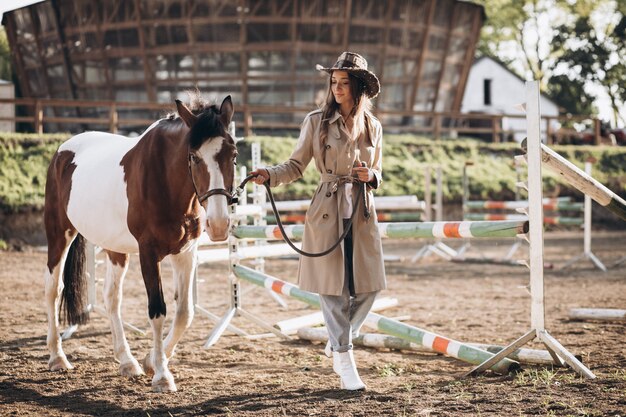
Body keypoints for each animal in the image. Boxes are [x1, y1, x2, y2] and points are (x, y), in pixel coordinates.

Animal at [41, 93, 236, 390]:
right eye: (193, 156)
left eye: (233, 155)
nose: (219, 224)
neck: (165, 180)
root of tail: (62, 152)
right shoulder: (148, 254)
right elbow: (158, 311)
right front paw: (162, 376)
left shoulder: (185, 254)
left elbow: (184, 313)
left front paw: (151, 360)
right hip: (58, 235)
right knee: (53, 289)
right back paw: (57, 357)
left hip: (115, 250)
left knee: (112, 298)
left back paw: (127, 361)